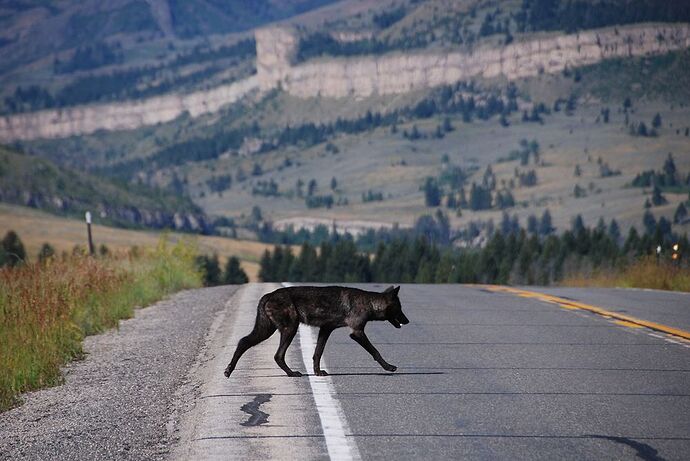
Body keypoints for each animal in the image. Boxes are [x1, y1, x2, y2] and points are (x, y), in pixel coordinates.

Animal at [224, 284, 408, 378]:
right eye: (400, 308)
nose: (407, 321)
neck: (370, 303)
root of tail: (268, 295)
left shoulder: (326, 329)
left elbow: (317, 353)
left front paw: (318, 372)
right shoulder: (357, 333)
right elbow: (375, 351)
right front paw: (389, 367)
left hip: (266, 331)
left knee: (243, 341)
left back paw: (228, 370)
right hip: (290, 329)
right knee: (277, 355)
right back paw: (292, 373)